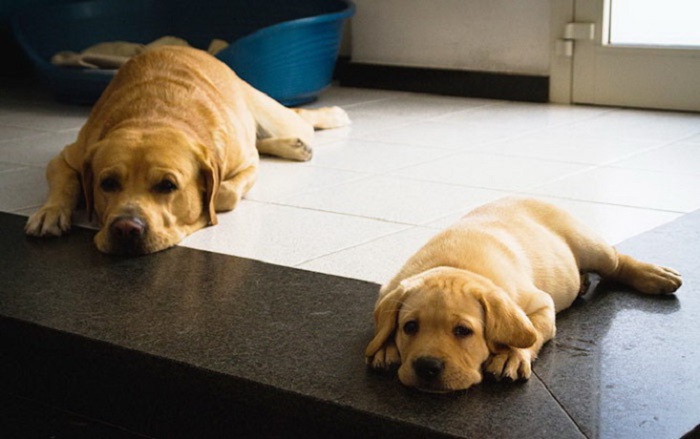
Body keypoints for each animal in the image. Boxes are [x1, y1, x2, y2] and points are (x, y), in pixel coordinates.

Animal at [26, 45, 348, 254]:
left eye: (168, 185)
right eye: (107, 183)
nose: (126, 228)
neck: (153, 115)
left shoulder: (247, 163)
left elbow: (225, 193)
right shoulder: (69, 156)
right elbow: (66, 182)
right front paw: (50, 212)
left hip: (275, 117)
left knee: (300, 118)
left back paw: (327, 120)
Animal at [364, 198, 680, 394]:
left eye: (463, 331)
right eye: (409, 327)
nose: (426, 367)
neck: (456, 266)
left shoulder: (540, 304)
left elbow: (530, 333)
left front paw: (510, 356)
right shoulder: (388, 291)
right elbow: (383, 327)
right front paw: (385, 347)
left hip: (592, 247)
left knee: (616, 261)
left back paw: (654, 275)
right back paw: (583, 282)